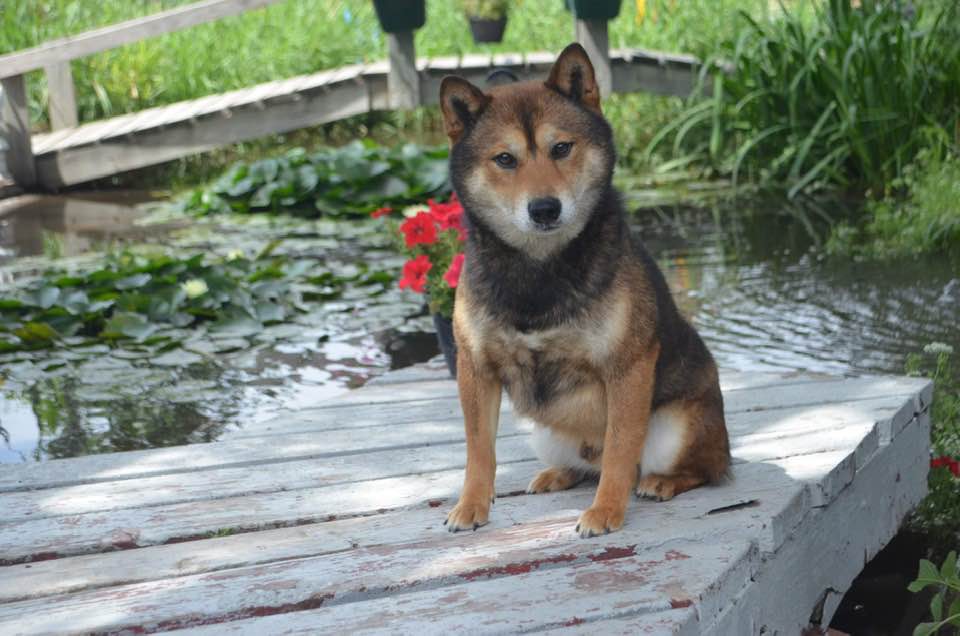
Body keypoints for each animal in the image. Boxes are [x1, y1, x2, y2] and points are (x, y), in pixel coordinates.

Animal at [440, 42, 728, 536]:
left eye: (561, 148)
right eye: (504, 159)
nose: (544, 208)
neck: (539, 271)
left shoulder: (628, 366)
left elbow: (620, 450)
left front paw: (606, 511)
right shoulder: (475, 366)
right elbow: (479, 450)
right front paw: (471, 505)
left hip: (676, 428)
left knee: (702, 469)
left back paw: (662, 482)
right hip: (543, 432)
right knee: (586, 465)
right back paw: (558, 474)